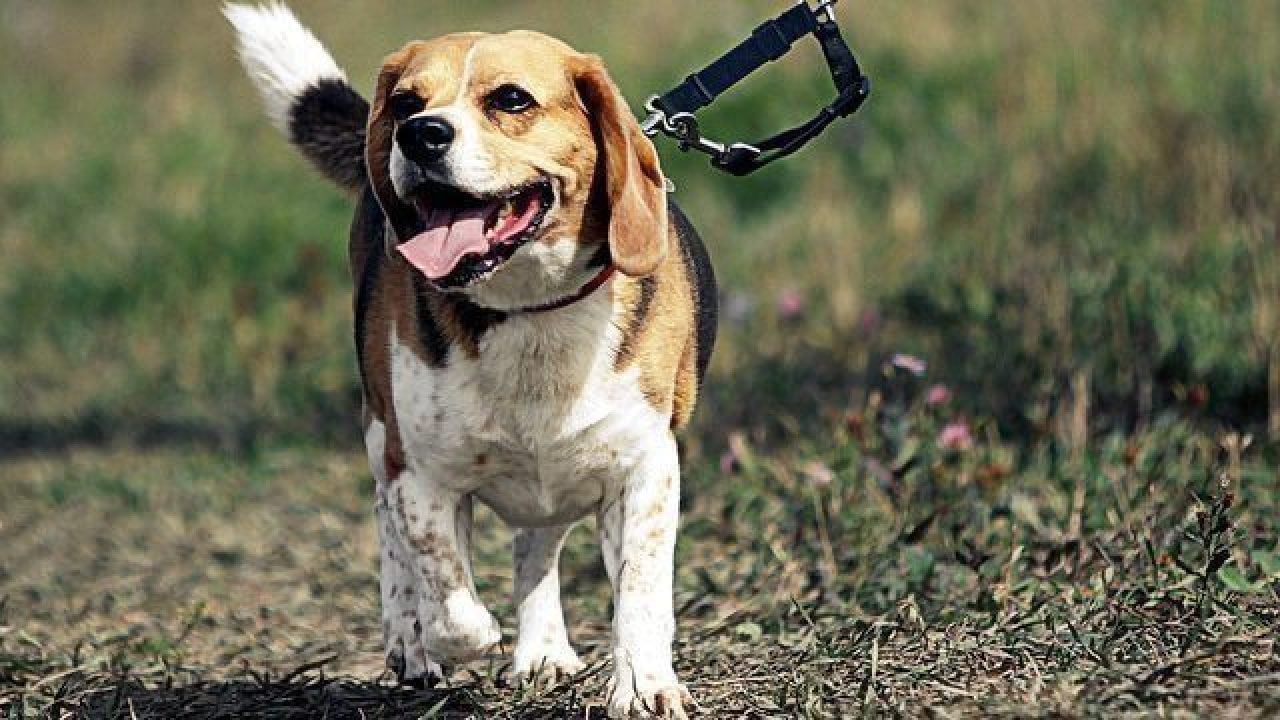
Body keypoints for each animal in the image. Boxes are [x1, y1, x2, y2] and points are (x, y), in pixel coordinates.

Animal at [225, 4, 716, 712]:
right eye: (406, 103)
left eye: (511, 99)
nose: (419, 135)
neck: (529, 311)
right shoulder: (420, 470)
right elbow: (445, 588)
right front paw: (452, 633)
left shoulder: (647, 466)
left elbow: (641, 588)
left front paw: (645, 685)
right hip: (378, 431)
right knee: (392, 531)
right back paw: (412, 639)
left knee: (538, 544)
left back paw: (542, 648)